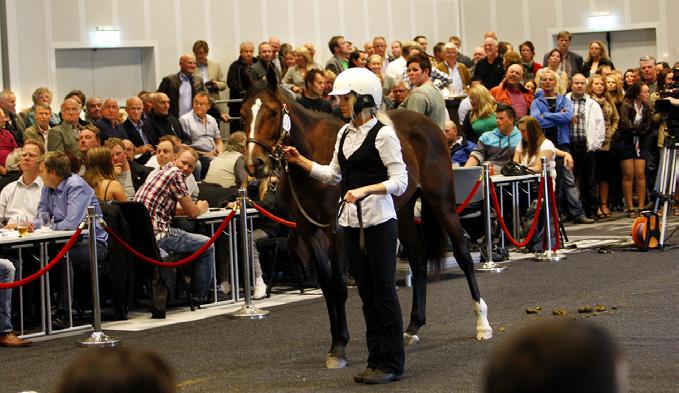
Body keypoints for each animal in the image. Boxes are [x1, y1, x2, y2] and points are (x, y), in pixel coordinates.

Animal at [242, 66, 492, 368]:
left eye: (272, 112)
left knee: (463, 255)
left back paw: (482, 324)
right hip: (403, 211)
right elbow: (326, 285)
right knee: (418, 260)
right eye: (243, 113)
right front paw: (335, 342)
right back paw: (412, 328)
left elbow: (339, 284)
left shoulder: (336, 230)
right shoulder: (309, 230)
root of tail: (429, 125)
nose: (254, 164)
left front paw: (340, 347)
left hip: (441, 201)